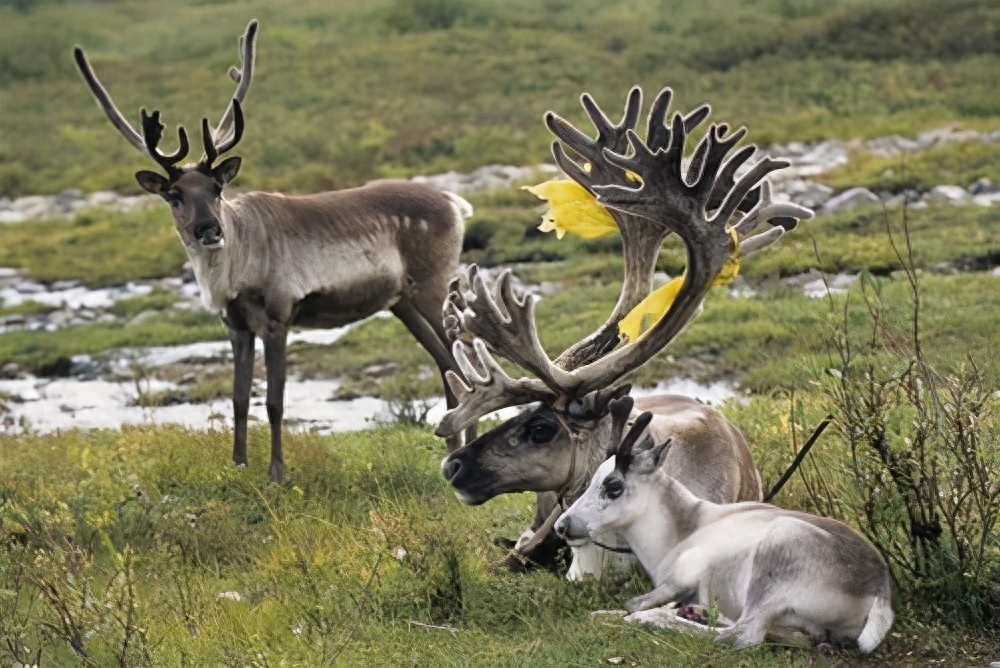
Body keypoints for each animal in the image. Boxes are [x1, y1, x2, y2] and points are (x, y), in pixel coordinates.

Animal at [560, 396, 896, 652]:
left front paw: (647, 614)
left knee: (742, 635)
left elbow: (632, 604)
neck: (685, 525)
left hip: (771, 568)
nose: (563, 525)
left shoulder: (678, 580)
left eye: (613, 486)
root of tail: (879, 586)